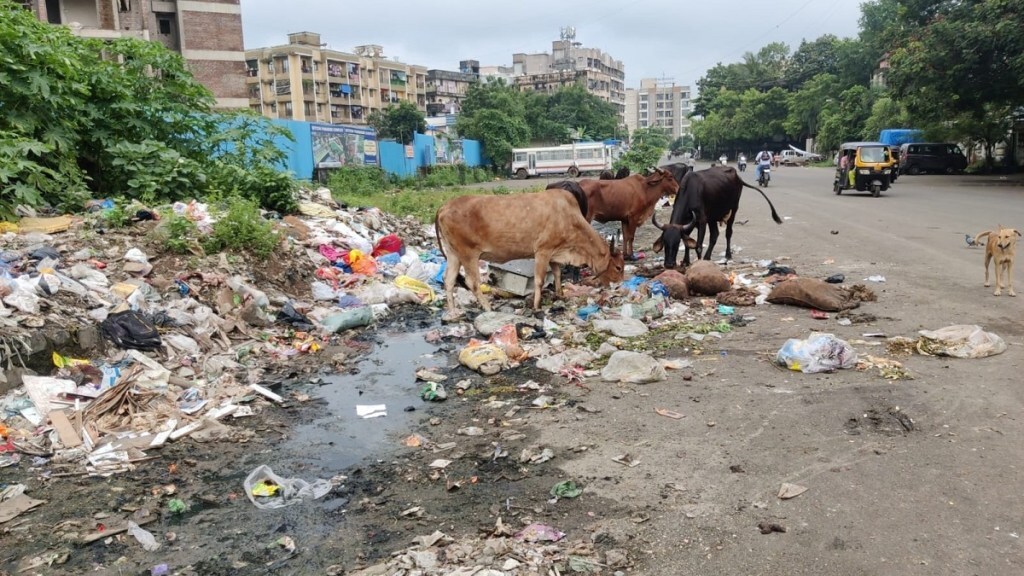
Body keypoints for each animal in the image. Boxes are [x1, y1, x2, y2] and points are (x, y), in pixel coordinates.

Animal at [434, 186, 622, 311]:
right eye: (619, 267)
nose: (620, 286)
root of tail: (444, 206)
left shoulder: (554, 253)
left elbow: (557, 274)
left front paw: (559, 294)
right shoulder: (542, 251)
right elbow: (539, 280)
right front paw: (537, 306)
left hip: (453, 254)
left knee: (448, 280)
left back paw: (453, 313)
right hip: (468, 254)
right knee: (472, 283)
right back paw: (488, 308)